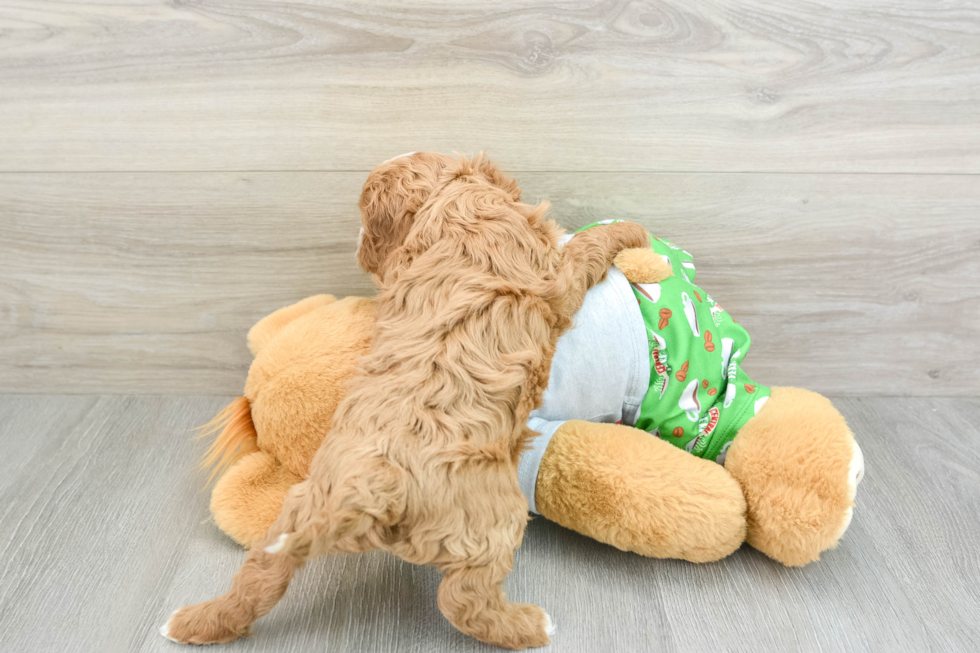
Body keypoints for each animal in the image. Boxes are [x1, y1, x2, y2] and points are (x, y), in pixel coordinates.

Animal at [161, 153, 652, 648]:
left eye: (366, 223)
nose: (357, 249)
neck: (452, 209)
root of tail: (374, 492)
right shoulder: (557, 276)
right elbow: (588, 248)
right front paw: (629, 231)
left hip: (296, 512)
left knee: (258, 579)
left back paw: (189, 621)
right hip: (492, 521)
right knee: (463, 600)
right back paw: (531, 626)